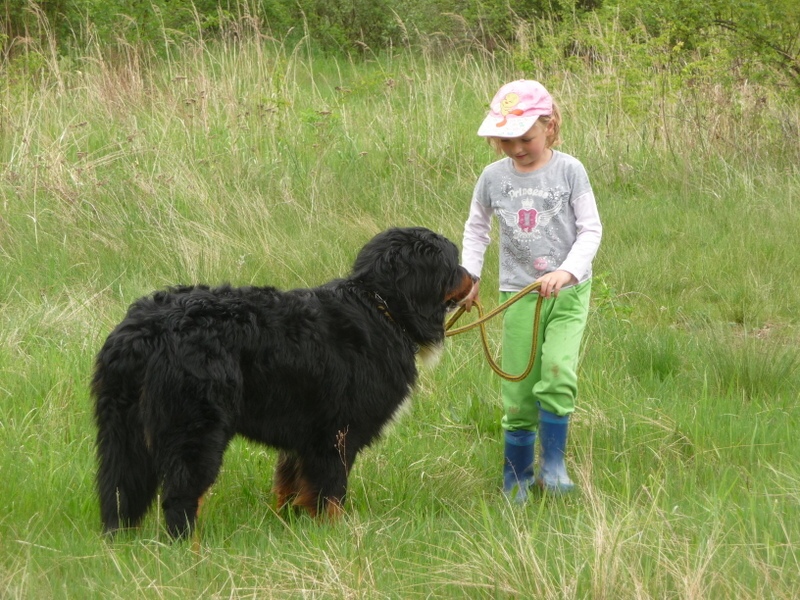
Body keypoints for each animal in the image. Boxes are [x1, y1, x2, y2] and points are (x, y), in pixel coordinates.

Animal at [92, 226, 476, 540]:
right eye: (453, 261)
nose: (474, 276)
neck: (380, 308)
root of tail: (146, 327)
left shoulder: (302, 439)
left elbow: (291, 488)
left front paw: (291, 527)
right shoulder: (335, 436)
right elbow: (331, 493)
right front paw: (336, 535)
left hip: (122, 431)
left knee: (118, 492)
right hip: (194, 429)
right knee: (180, 498)